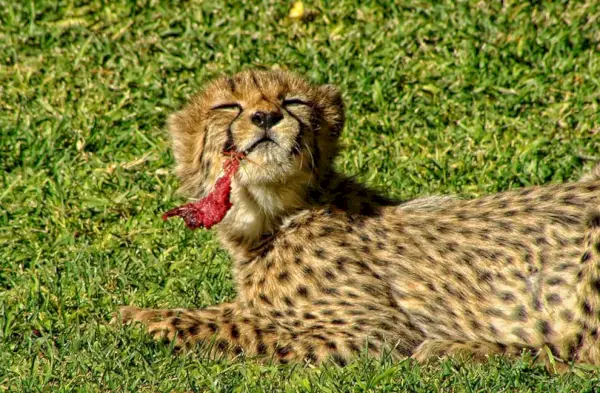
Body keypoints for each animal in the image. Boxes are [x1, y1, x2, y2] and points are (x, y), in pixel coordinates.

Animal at [118, 69, 600, 368]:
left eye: (293, 101)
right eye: (228, 106)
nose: (266, 116)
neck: (273, 214)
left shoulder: (374, 333)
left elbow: (241, 328)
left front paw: (143, 322)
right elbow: (225, 312)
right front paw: (140, 312)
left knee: (578, 360)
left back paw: (453, 350)